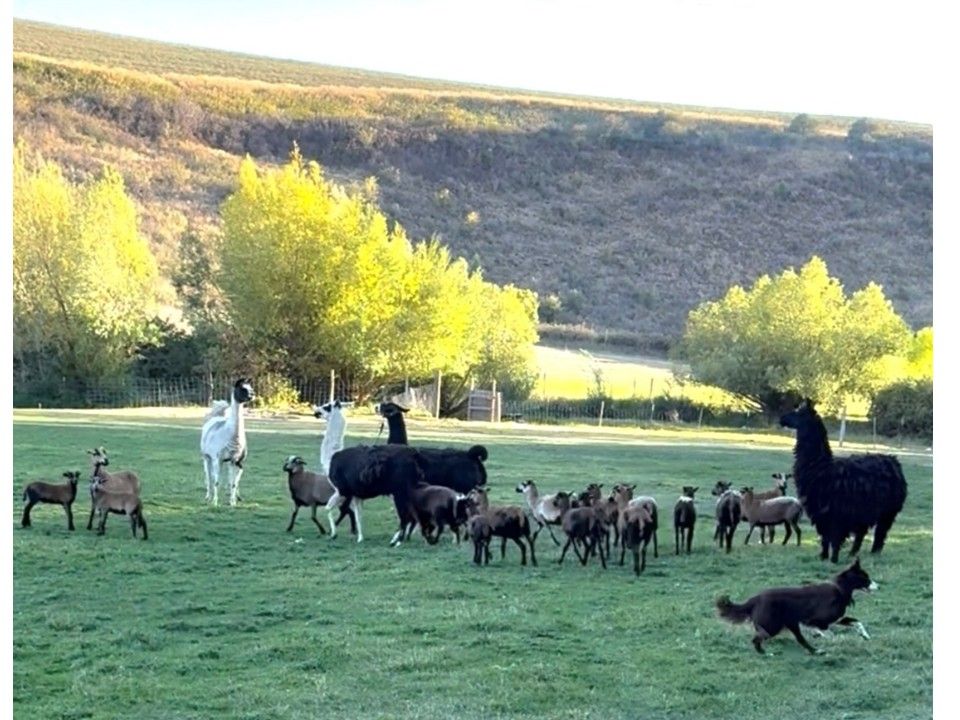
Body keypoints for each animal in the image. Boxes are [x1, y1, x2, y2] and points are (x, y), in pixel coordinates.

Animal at [200, 378, 255, 507]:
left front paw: (232, 502)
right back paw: (208, 497)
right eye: (242, 388)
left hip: (227, 462)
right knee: (209, 476)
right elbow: (216, 481)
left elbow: (233, 482)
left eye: (251, 388)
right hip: (207, 458)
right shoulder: (217, 459)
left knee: (229, 479)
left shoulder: (235, 460)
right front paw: (215, 502)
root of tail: (216, 417)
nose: (252, 395)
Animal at [780, 398, 908, 562]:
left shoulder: (838, 513)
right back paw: (853, 554)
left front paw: (833, 559)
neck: (821, 467)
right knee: (862, 534)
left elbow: (835, 538)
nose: (782, 418)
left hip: (888, 511)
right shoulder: (822, 513)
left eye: (799, 413)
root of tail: (893, 461)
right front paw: (823, 557)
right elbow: (825, 538)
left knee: (880, 533)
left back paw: (874, 553)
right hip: (865, 510)